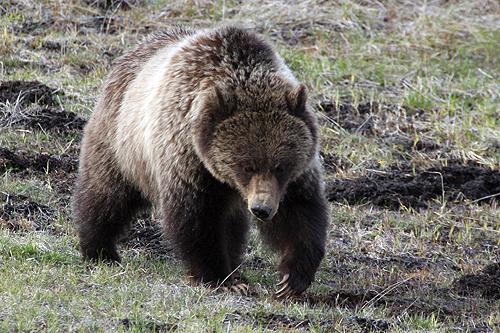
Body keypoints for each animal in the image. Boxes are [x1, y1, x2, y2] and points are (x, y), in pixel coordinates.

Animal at [70, 25, 328, 296]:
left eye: (281, 166)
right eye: (246, 166)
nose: (261, 209)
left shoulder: (296, 176)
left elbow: (299, 212)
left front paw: (291, 278)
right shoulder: (187, 161)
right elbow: (196, 221)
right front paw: (218, 277)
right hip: (121, 142)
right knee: (106, 193)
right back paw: (99, 250)